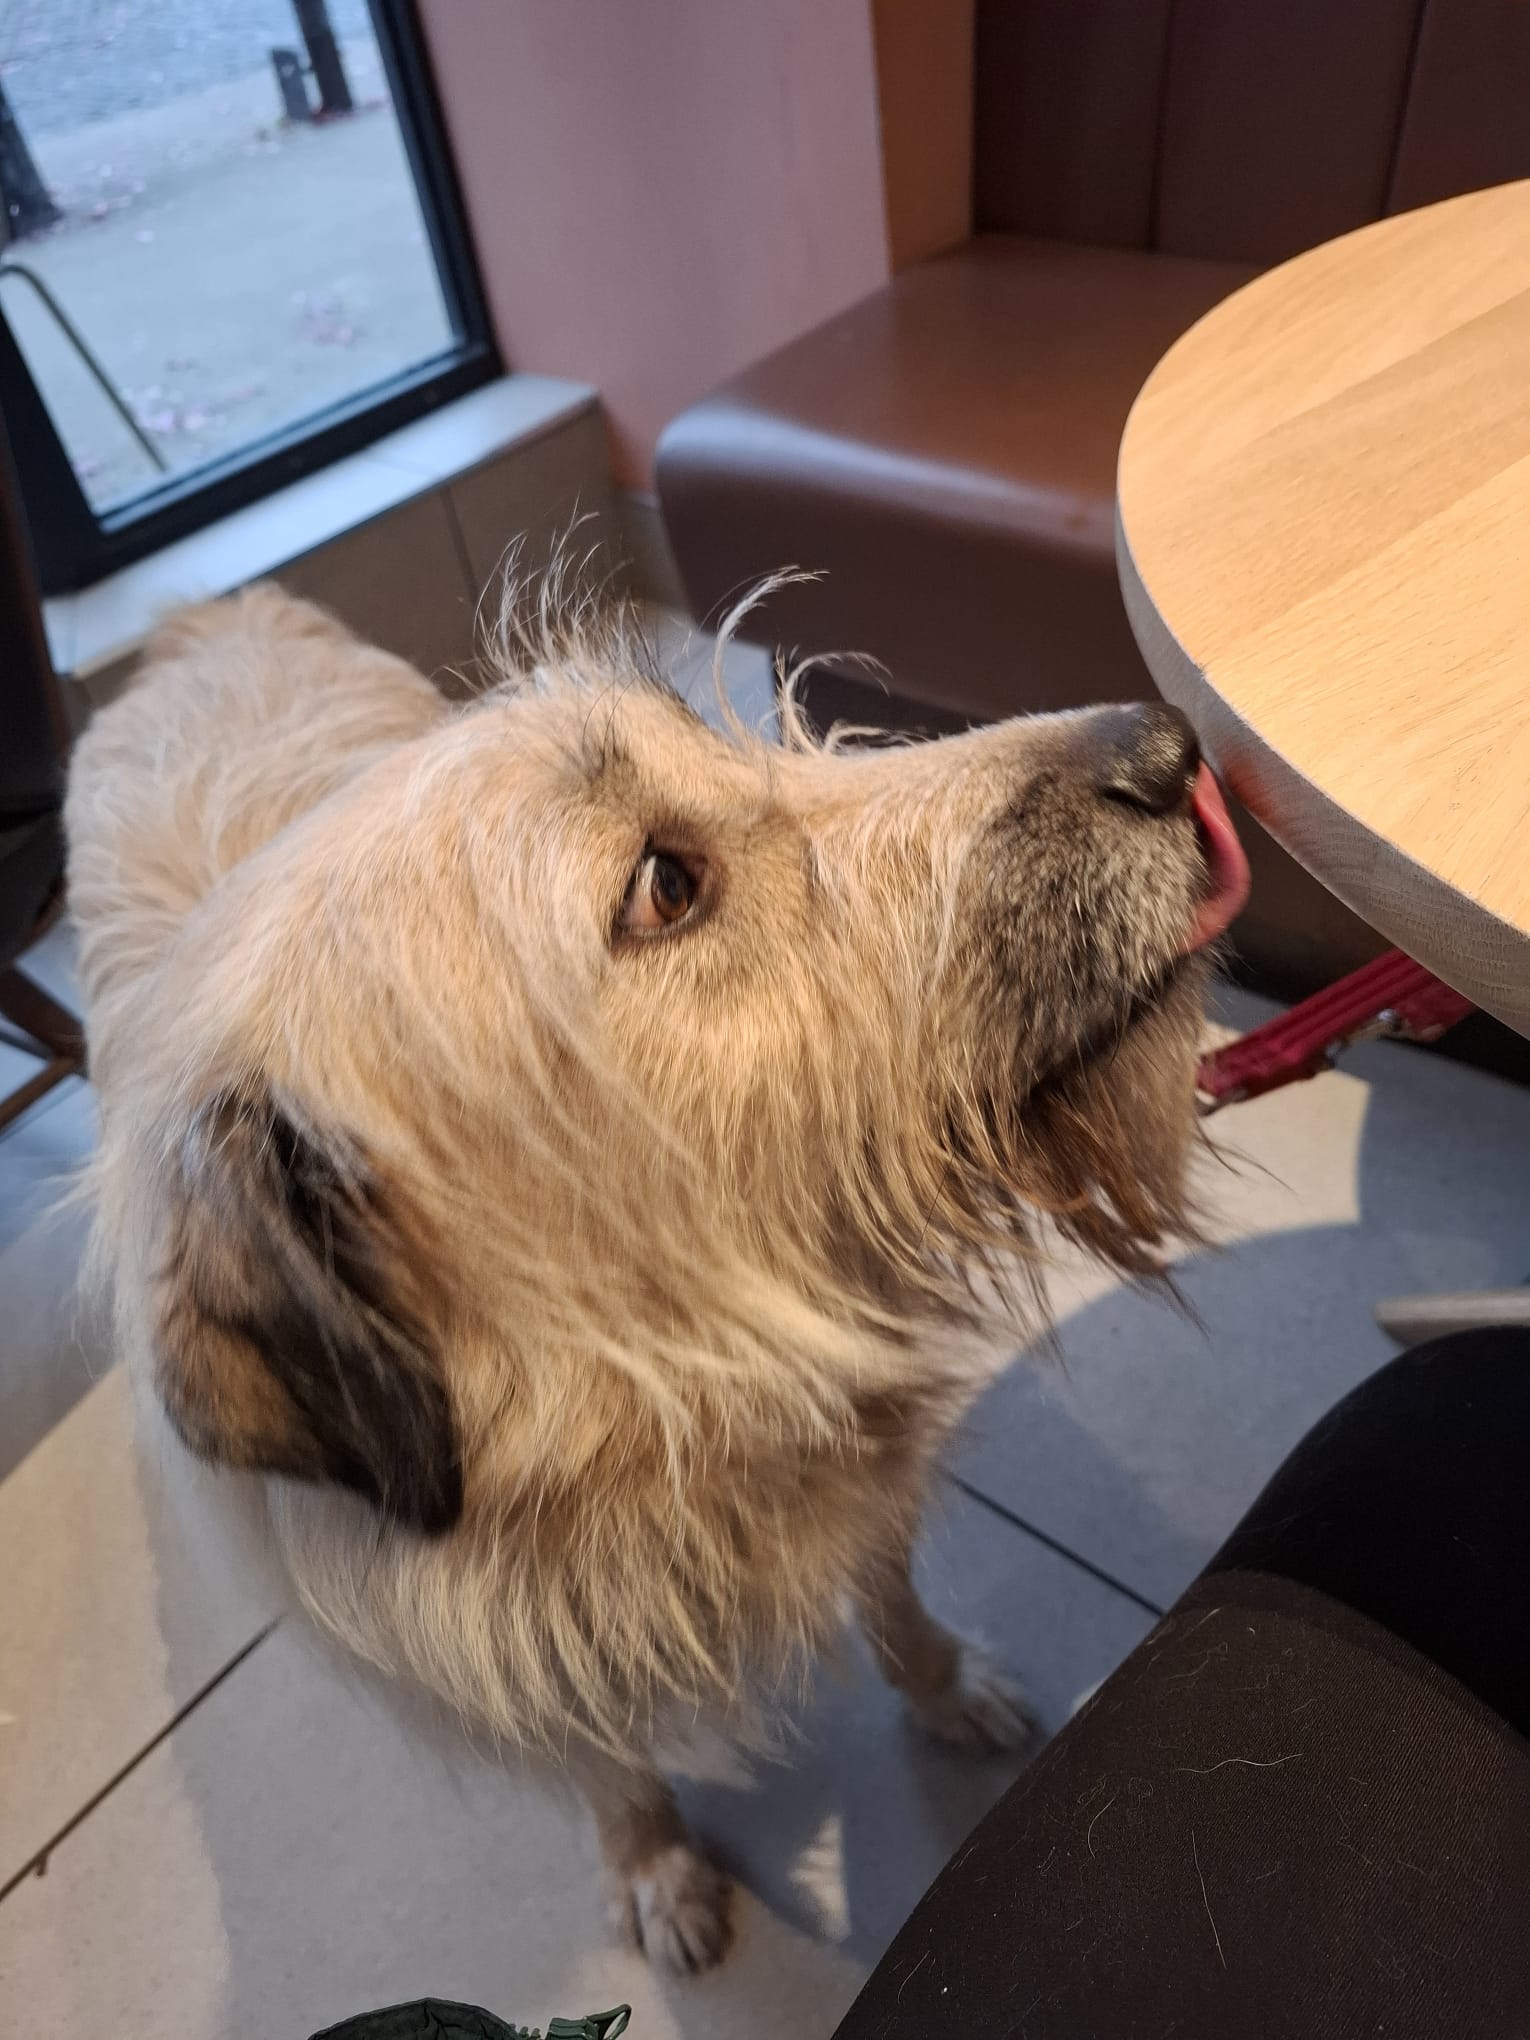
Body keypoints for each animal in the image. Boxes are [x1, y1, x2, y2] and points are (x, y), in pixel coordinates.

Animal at [65, 579, 1248, 1972]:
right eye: (664, 887)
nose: (1168, 747)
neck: (654, 1426)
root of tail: (204, 611)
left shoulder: (860, 1464)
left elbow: (891, 1593)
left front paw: (945, 1685)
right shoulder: (506, 1647)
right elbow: (603, 1760)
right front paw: (652, 1862)